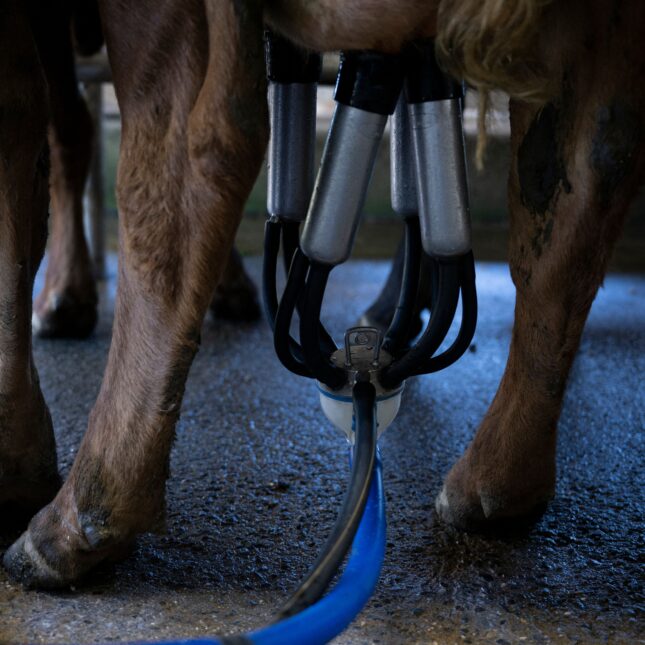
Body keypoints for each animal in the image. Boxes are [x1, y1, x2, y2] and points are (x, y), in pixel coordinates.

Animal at [1, 0, 644, 588]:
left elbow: (30, 126)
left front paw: (19, 448)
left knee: (190, 154)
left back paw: (77, 519)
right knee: (582, 176)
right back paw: (499, 482)